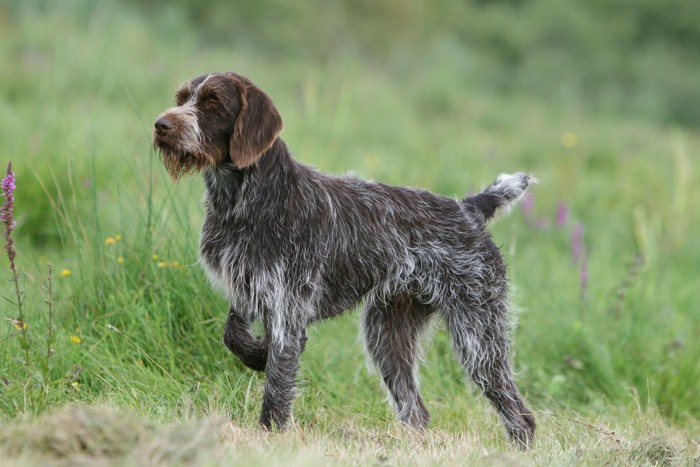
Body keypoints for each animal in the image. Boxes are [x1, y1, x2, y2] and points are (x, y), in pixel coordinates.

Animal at [153, 71, 536, 448]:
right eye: (182, 99)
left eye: (212, 103)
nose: (161, 125)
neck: (244, 200)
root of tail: (468, 207)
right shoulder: (250, 289)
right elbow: (232, 335)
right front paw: (258, 355)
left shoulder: (287, 309)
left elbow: (277, 384)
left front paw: (269, 436)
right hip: (387, 335)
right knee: (416, 411)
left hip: (477, 334)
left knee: (519, 414)